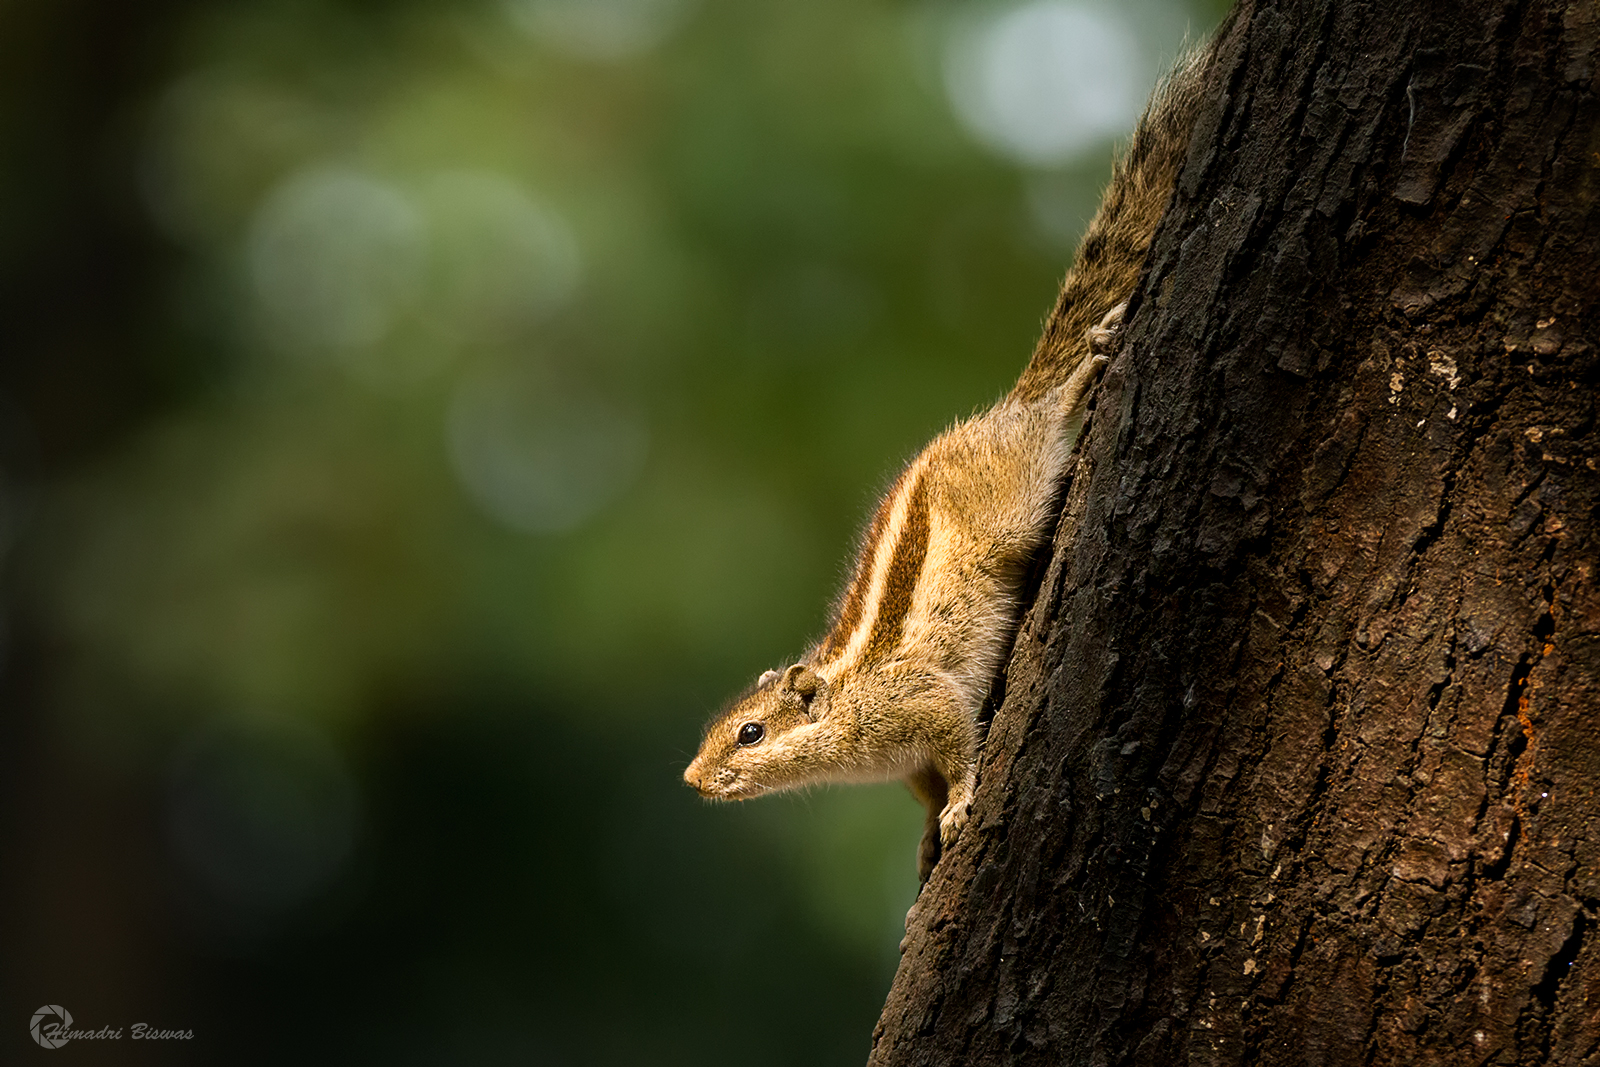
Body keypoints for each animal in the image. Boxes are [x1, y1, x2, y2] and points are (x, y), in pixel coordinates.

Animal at [684, 33, 1226, 881]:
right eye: (724, 730)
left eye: (751, 733)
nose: (692, 778)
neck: (847, 703)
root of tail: (997, 416)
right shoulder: (907, 762)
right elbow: (927, 788)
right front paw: (926, 837)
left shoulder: (921, 699)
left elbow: (960, 743)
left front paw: (965, 802)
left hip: (1016, 490)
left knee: (1050, 417)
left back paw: (1081, 376)